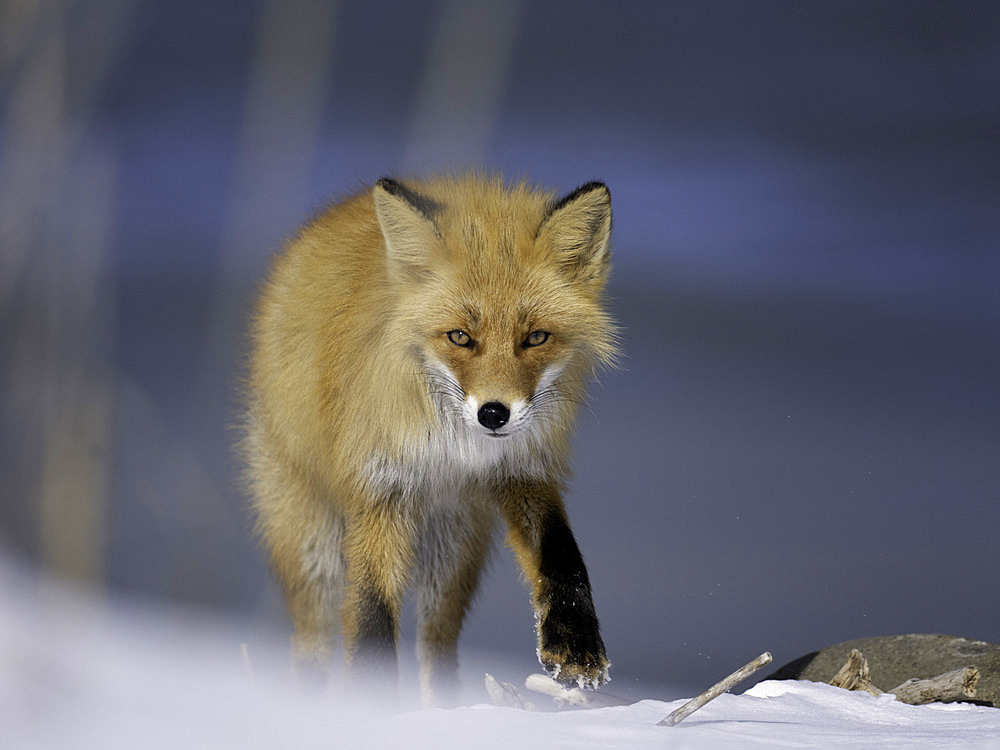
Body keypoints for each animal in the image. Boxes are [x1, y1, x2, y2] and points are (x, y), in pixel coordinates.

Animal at [244, 176, 616, 704]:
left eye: (536, 338)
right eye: (460, 337)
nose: (494, 414)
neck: (454, 450)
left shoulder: (524, 467)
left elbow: (561, 553)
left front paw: (575, 643)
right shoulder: (381, 491)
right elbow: (372, 612)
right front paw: (371, 702)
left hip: (452, 552)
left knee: (437, 643)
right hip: (312, 545)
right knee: (313, 637)